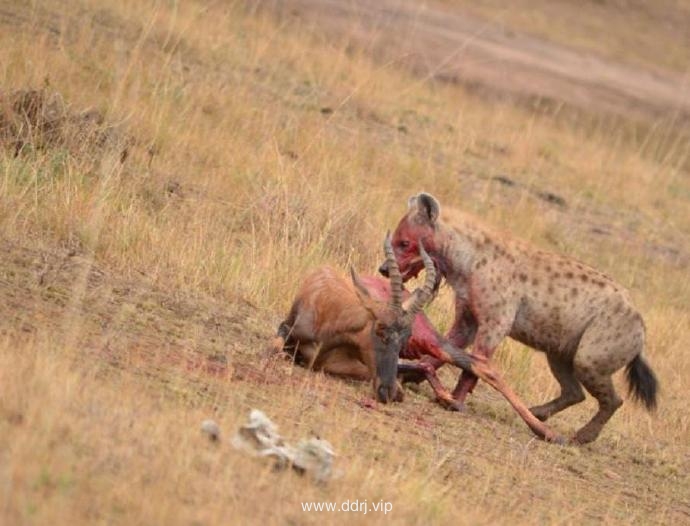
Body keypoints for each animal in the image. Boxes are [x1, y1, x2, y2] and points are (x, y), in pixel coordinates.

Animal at [382, 194, 656, 446]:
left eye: (404, 242)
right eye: (395, 239)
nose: (383, 269)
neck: (466, 261)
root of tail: (641, 328)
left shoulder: (496, 321)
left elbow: (474, 364)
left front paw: (455, 400)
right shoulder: (468, 317)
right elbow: (448, 348)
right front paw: (412, 375)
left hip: (592, 355)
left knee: (612, 398)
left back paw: (582, 436)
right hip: (559, 353)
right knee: (574, 391)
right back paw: (539, 413)